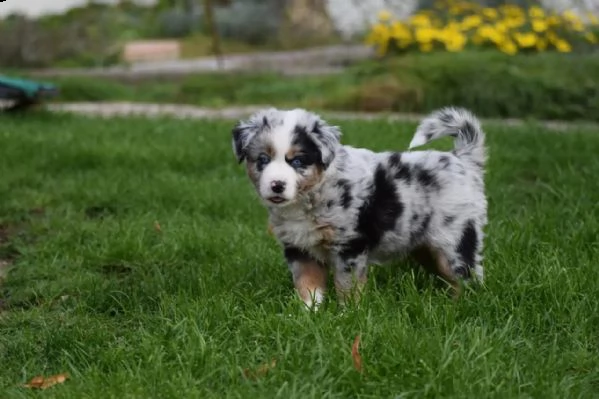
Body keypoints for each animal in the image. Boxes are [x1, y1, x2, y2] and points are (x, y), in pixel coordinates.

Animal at [230, 108, 488, 310]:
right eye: (262, 159)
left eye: (297, 161)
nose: (277, 185)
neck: (310, 196)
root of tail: (462, 159)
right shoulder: (299, 248)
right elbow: (307, 285)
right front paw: (307, 315)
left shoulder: (349, 246)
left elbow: (347, 286)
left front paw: (347, 315)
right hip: (424, 245)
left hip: (455, 239)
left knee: (467, 276)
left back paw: (461, 307)